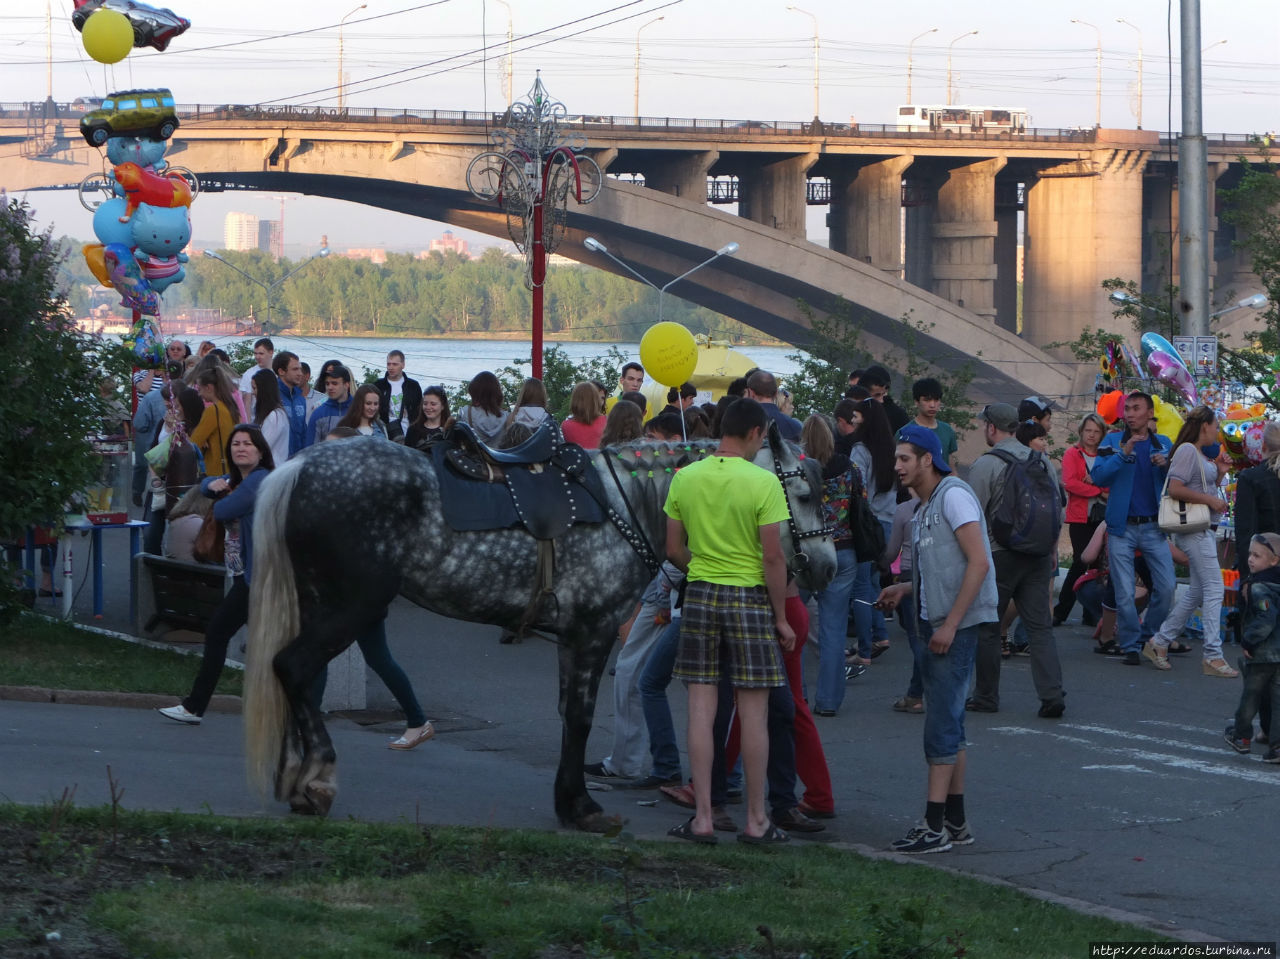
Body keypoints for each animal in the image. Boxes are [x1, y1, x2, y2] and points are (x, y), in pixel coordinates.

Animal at [241, 422, 839, 824]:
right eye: (803, 495)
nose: (828, 566)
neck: (626, 499)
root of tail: (299, 467)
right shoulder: (592, 632)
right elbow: (580, 716)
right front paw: (580, 805)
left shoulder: (573, 637)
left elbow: (568, 714)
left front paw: (569, 800)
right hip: (351, 607)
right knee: (293, 667)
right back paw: (316, 778)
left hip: (321, 604)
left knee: (294, 676)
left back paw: (297, 776)